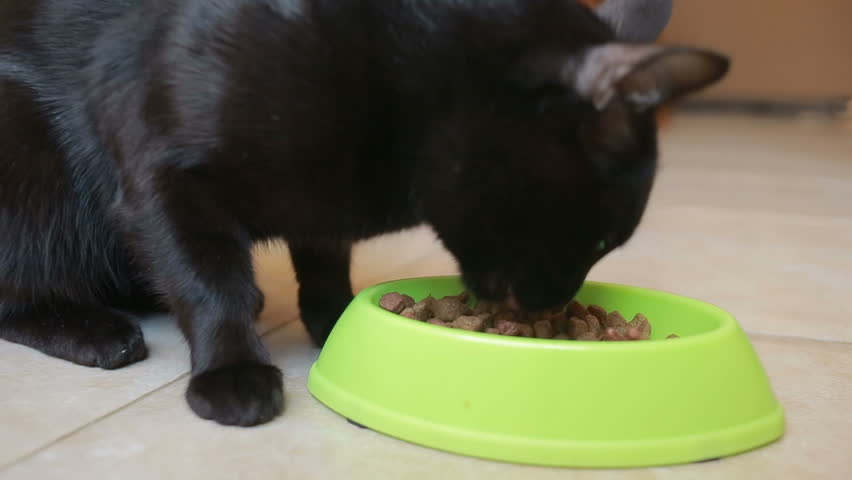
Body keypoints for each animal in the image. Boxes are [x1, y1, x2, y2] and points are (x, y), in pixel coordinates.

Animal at [0, 0, 724, 428]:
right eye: (601, 236)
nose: (554, 303)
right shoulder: (162, 178)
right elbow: (212, 286)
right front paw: (232, 370)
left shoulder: (322, 206)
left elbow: (324, 265)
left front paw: (336, 322)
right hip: (32, 164)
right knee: (17, 294)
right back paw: (96, 330)